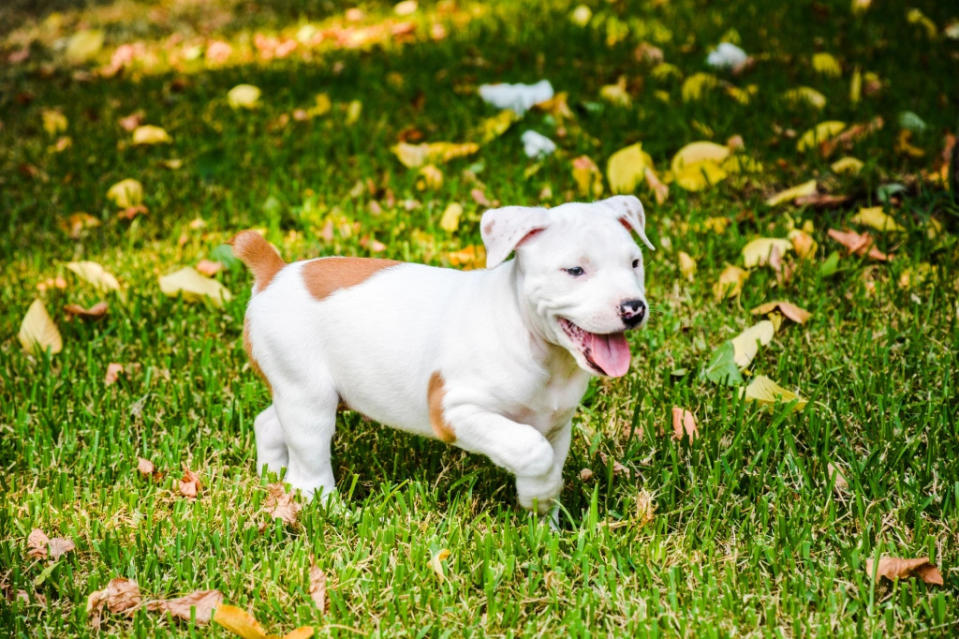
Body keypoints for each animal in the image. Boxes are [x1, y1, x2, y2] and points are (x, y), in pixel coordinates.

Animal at [232, 195, 652, 516]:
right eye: (575, 270)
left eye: (635, 263)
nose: (633, 309)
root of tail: (274, 273)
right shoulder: (455, 410)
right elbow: (533, 450)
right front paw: (540, 492)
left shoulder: (557, 425)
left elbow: (548, 459)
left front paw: (542, 515)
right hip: (309, 398)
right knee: (309, 468)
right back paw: (331, 510)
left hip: (311, 393)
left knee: (269, 424)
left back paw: (270, 478)